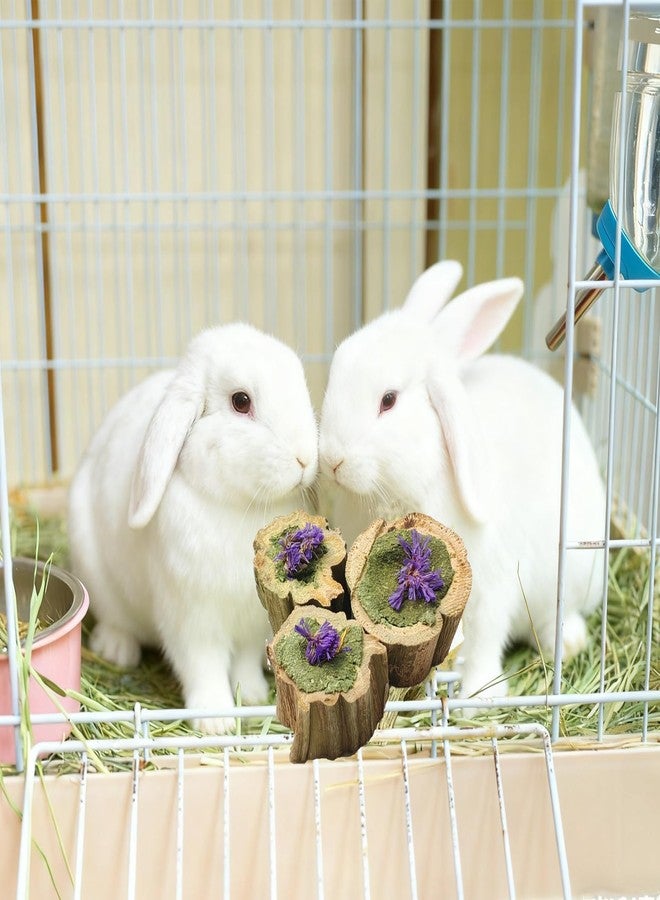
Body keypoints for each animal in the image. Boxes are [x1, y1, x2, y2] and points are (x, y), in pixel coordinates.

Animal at [68, 323, 319, 733]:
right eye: (240, 401)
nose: (305, 458)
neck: (238, 507)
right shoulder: (191, 619)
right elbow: (203, 666)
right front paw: (216, 720)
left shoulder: (252, 622)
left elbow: (244, 661)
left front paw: (251, 697)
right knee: (115, 620)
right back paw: (117, 650)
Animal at [319, 260, 606, 705]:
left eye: (389, 400)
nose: (332, 458)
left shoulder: (491, 587)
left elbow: (485, 640)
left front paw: (481, 696)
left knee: (561, 614)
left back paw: (570, 641)